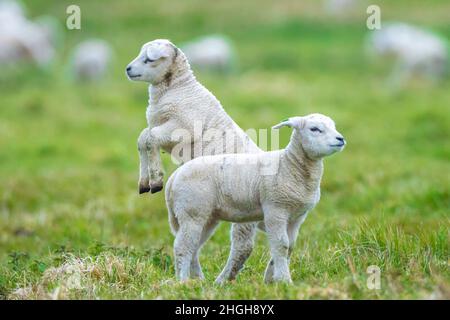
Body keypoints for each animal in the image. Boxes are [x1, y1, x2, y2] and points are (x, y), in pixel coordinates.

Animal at [125, 39, 262, 282]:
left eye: (149, 59)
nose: (128, 69)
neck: (180, 89)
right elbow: (143, 139)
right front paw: (145, 182)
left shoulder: (181, 127)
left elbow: (150, 138)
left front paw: (156, 179)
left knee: (242, 246)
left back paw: (221, 280)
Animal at [165, 113, 344, 282]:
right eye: (315, 129)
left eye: (334, 126)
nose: (341, 139)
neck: (288, 165)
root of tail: (173, 178)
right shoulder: (275, 209)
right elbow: (281, 245)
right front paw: (284, 280)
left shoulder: (297, 217)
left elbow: (290, 246)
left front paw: (271, 278)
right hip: (192, 212)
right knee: (182, 246)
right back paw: (183, 280)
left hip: (207, 216)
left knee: (194, 246)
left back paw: (199, 281)